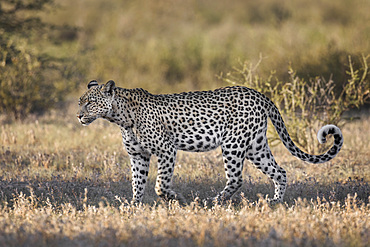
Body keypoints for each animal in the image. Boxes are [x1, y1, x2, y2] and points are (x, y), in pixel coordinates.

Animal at [76, 80, 344, 204]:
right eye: (80, 101)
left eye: (90, 102)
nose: (78, 115)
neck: (120, 117)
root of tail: (258, 93)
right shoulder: (138, 155)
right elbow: (137, 183)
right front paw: (134, 206)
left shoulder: (167, 150)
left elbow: (160, 184)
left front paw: (175, 198)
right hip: (256, 147)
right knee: (280, 171)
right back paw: (275, 202)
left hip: (233, 144)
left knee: (236, 178)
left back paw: (212, 202)